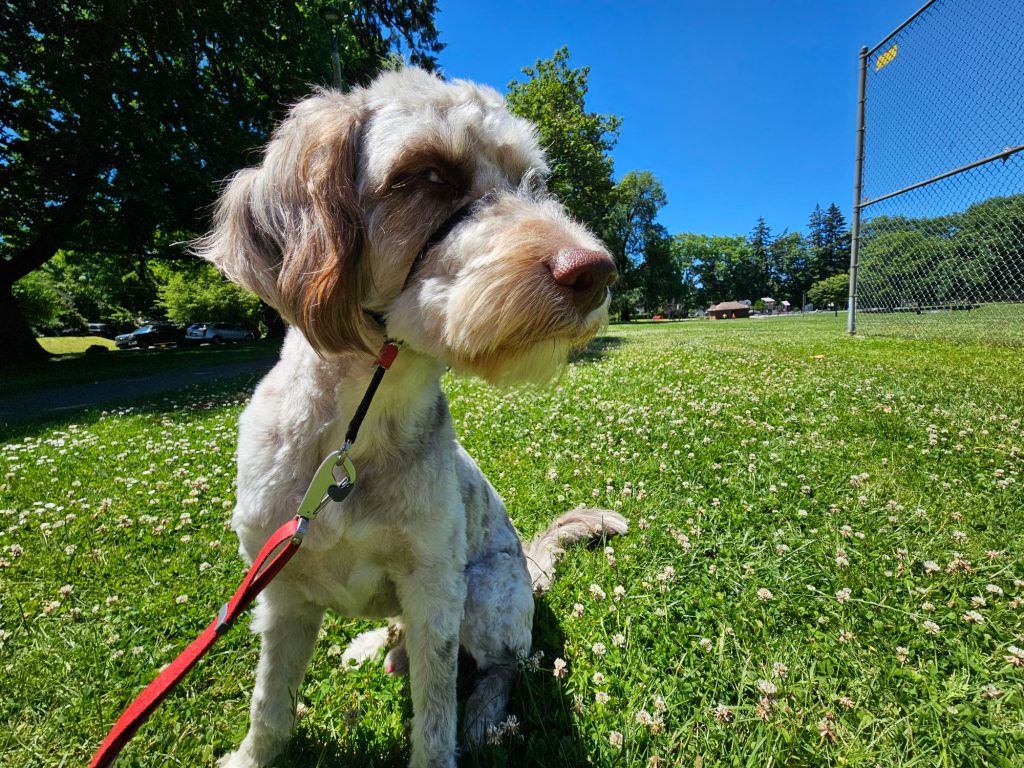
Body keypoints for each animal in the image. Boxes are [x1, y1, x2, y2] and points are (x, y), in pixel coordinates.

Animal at [196, 66, 627, 768]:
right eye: (428, 174)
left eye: (533, 183)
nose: (596, 270)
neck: (356, 436)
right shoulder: (281, 593)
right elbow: (270, 701)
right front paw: (252, 757)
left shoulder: (434, 592)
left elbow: (435, 713)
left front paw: (453, 723)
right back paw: (376, 645)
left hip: (485, 593)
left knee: (504, 666)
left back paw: (482, 712)